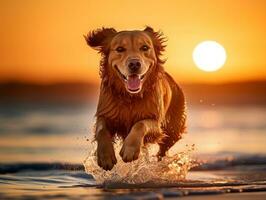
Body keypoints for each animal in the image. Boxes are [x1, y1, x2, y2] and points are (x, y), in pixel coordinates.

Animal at [84, 26, 185, 170]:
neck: (130, 96)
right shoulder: (106, 114)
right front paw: (105, 157)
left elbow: (140, 124)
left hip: (173, 131)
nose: (134, 64)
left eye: (144, 47)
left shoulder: (155, 122)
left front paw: (130, 150)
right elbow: (101, 130)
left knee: (163, 150)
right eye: (120, 49)